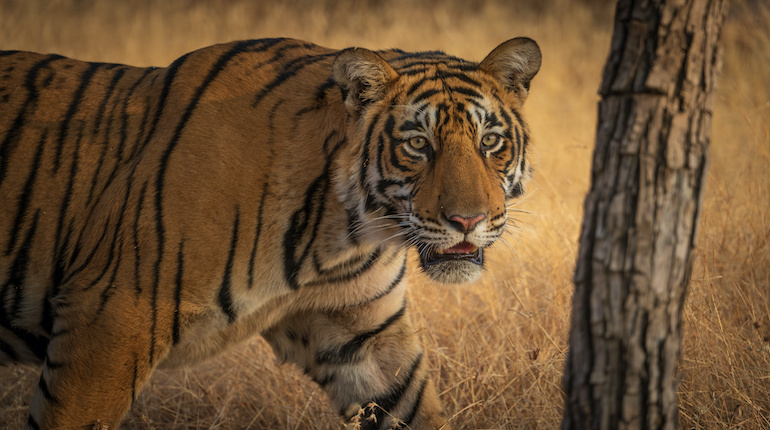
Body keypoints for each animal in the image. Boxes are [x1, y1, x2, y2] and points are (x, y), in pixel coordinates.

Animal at [0, 36, 540, 426]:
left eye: (490, 141)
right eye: (418, 145)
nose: (467, 221)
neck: (343, 232)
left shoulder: (361, 332)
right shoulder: (110, 320)